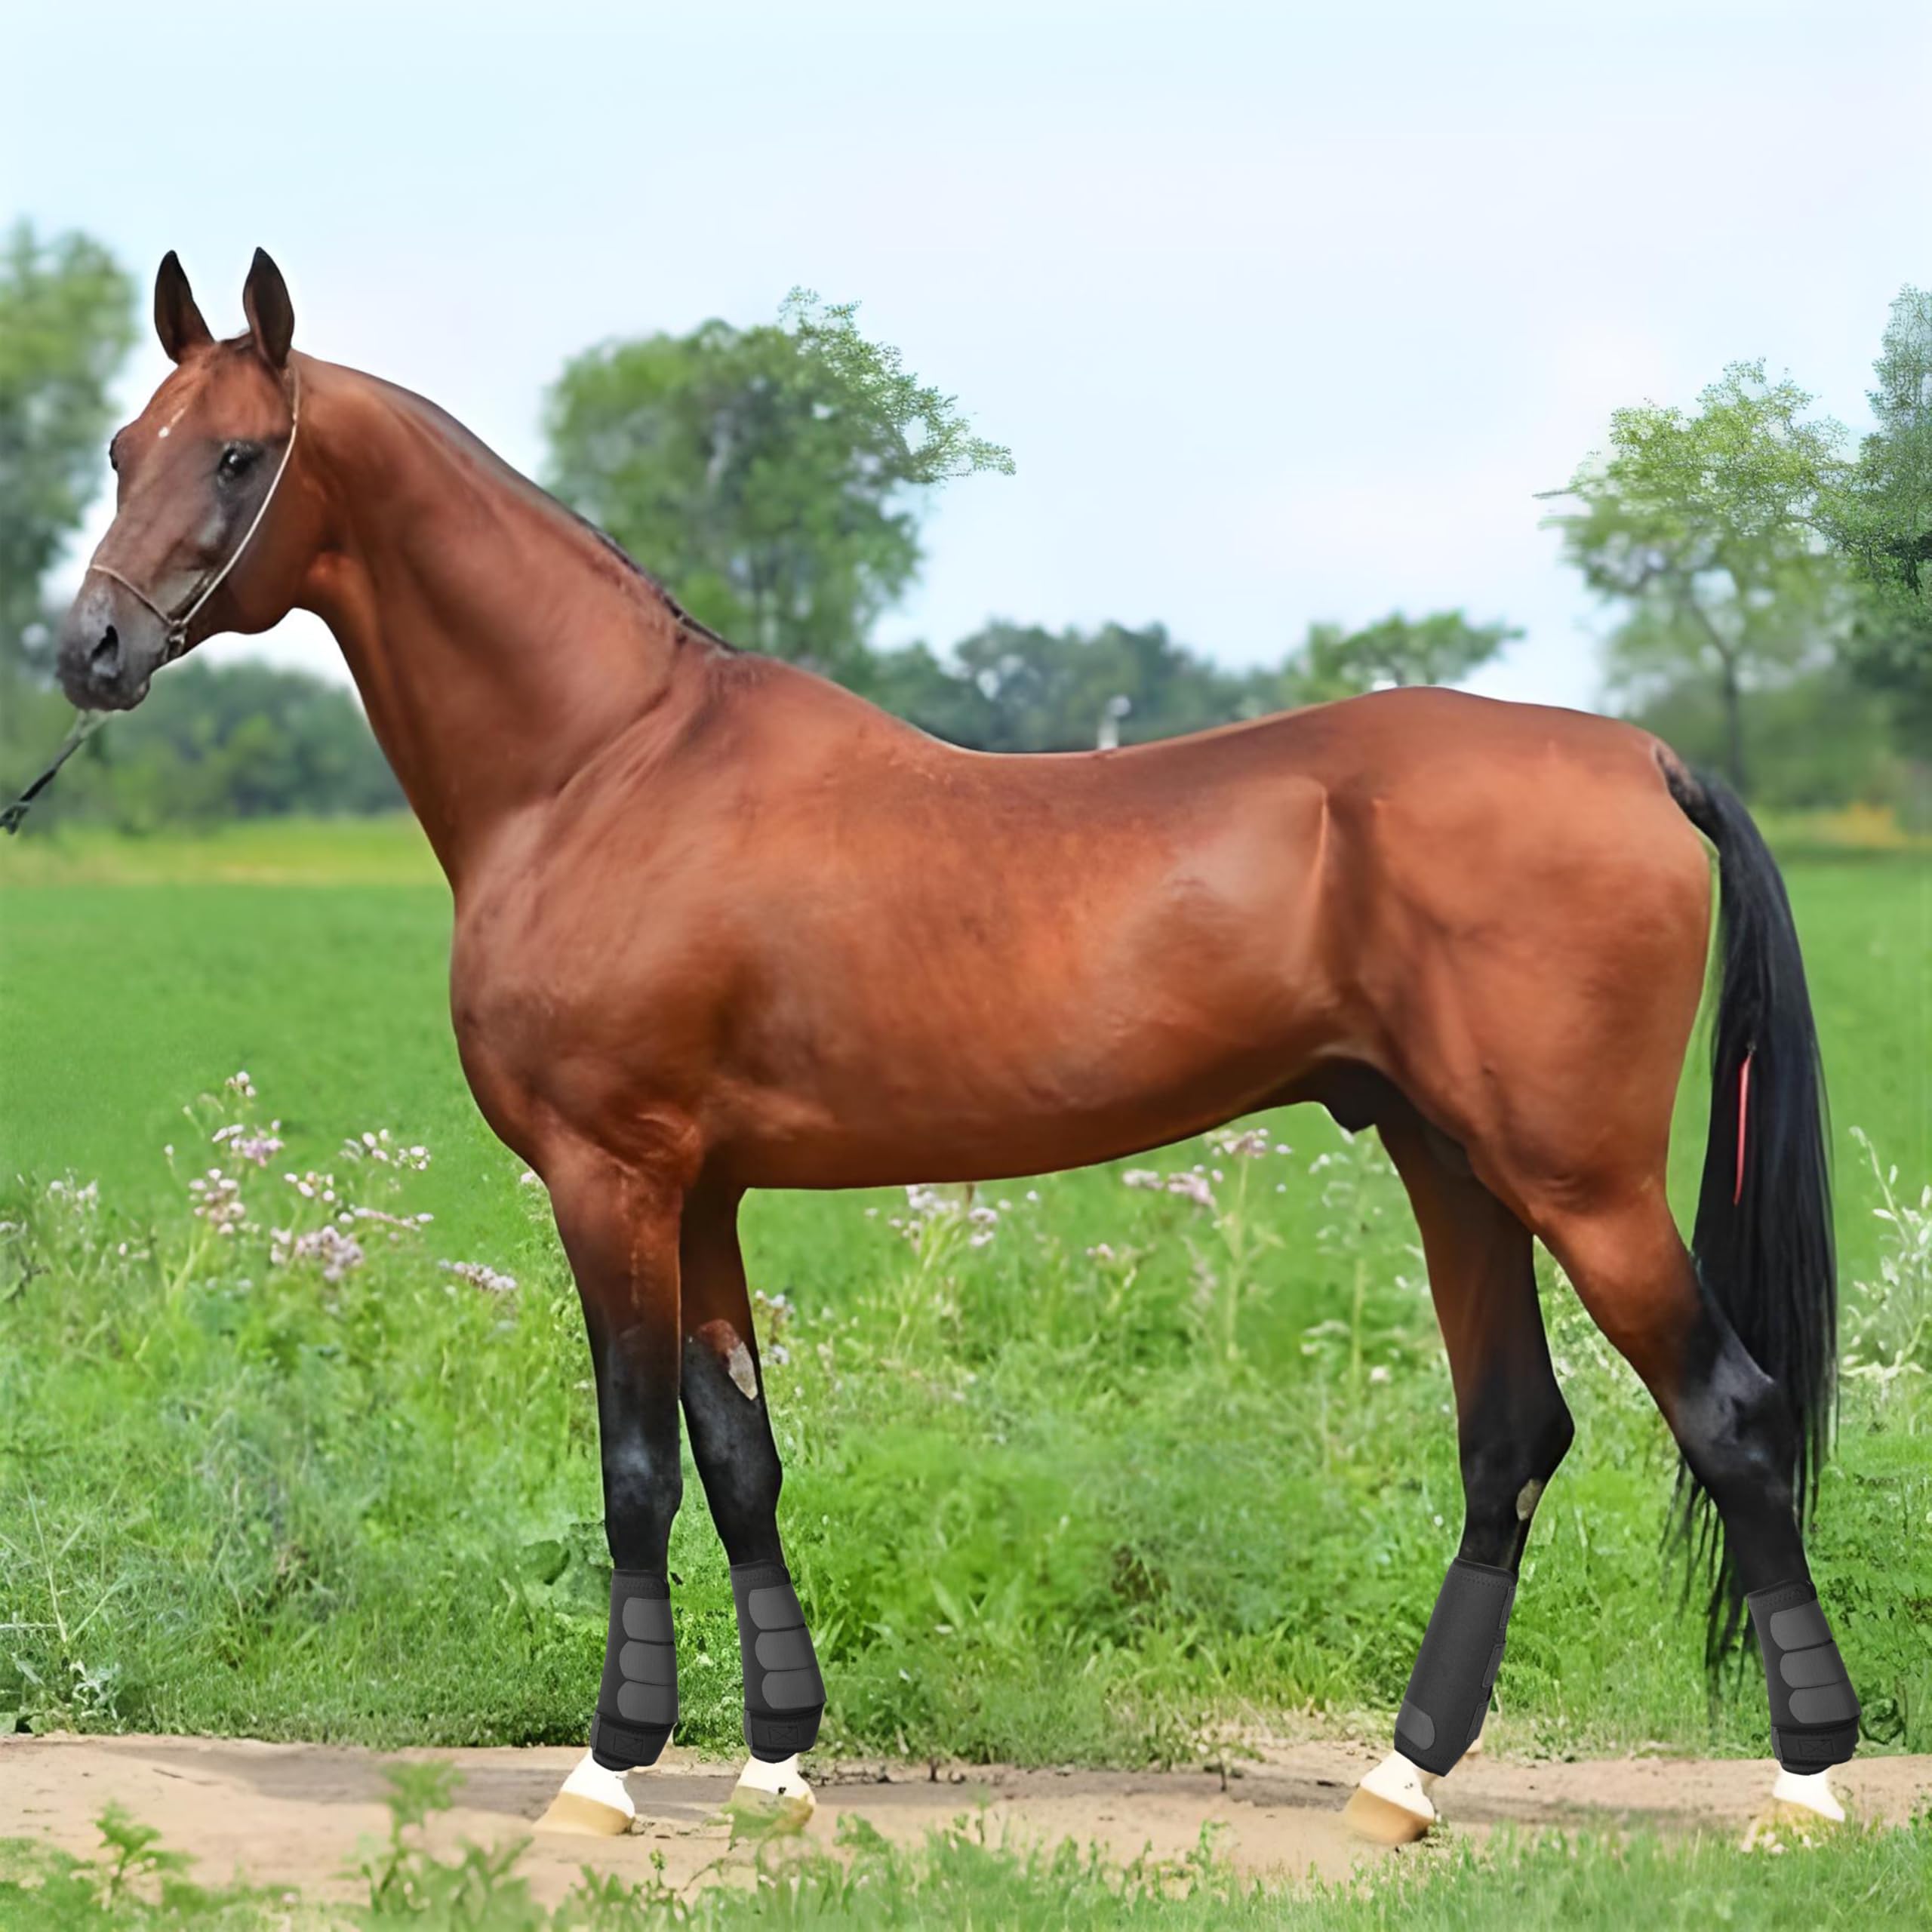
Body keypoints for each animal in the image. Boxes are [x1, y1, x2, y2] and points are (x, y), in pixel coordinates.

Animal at [56, 250, 1860, 1840]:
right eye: (124, 445)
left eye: (237, 453)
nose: (88, 651)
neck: (604, 764)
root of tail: (1640, 758)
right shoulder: (702, 1192)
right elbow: (740, 1458)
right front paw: (775, 1765)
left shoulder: (608, 1176)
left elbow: (637, 1468)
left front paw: (608, 1770)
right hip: (1452, 1163)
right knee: (1510, 1440)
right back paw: (1401, 1782)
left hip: (1581, 1180)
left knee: (1732, 1416)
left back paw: (1803, 1784)